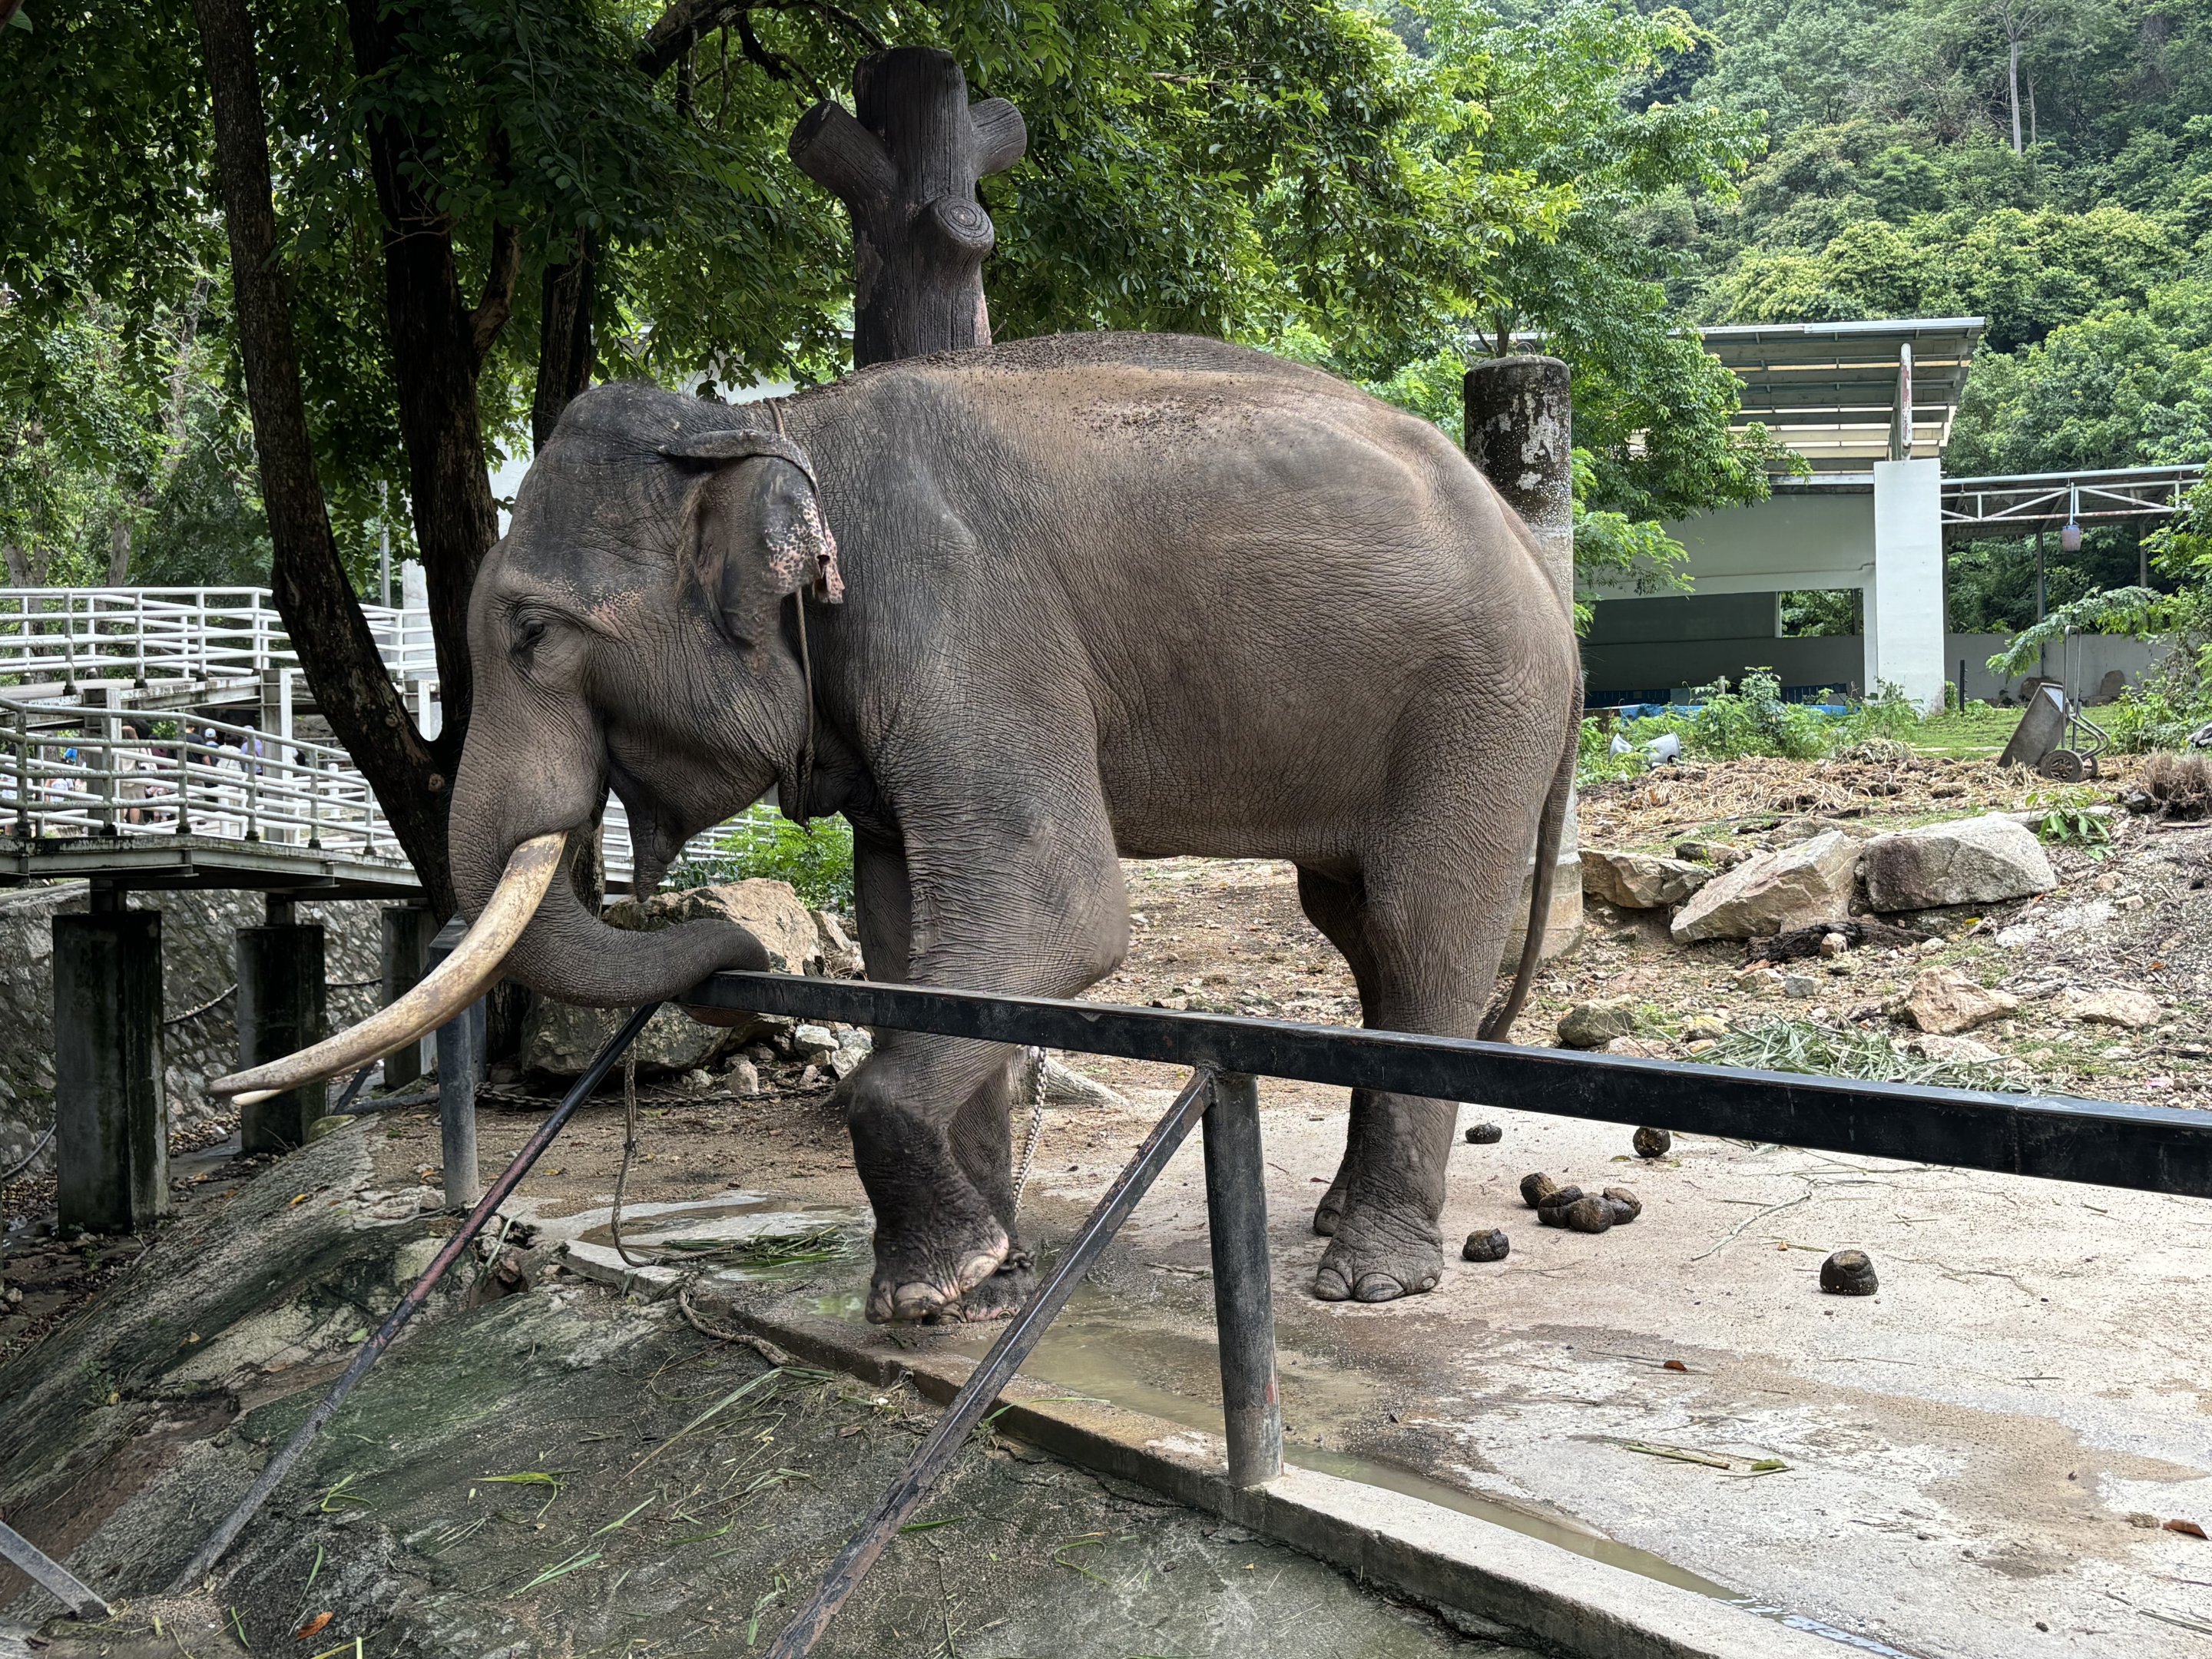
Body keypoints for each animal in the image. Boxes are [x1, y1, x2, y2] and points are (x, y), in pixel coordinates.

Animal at [221, 332, 1581, 1323]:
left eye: (533, 634)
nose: (735, 952)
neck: (778, 420)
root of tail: (1538, 565)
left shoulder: (959, 610)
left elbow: (1056, 915)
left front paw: (926, 1292)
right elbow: (907, 936)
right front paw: (982, 1278)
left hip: (1476, 703)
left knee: (1416, 927)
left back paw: (1367, 1280)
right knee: (1353, 924)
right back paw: (1338, 1225)